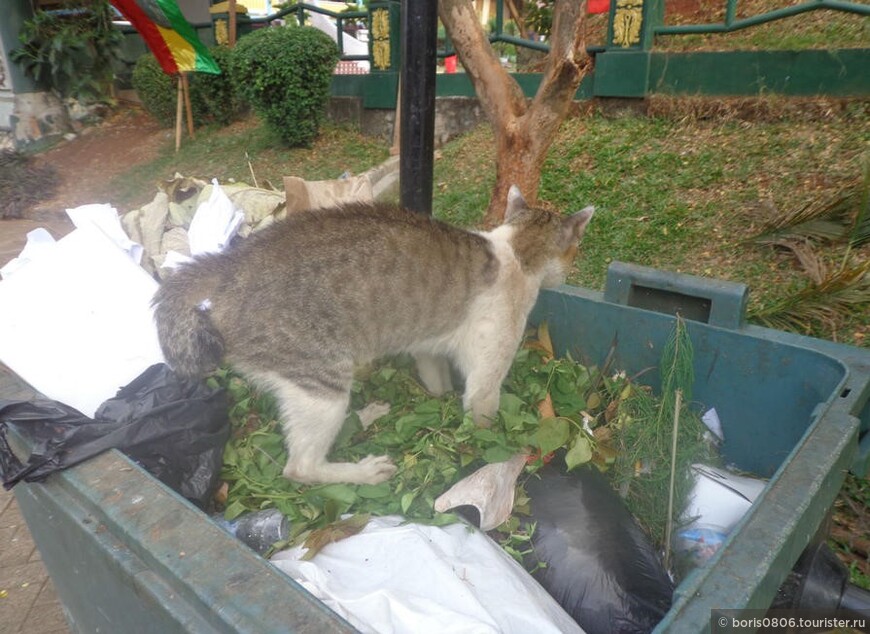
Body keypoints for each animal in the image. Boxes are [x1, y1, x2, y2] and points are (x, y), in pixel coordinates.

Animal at [153, 186, 596, 484]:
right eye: (575, 250)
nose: (568, 273)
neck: (516, 251)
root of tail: (231, 263)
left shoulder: (427, 347)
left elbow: (436, 375)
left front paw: (438, 396)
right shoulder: (489, 372)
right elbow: (483, 413)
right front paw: (494, 443)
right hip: (321, 381)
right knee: (301, 467)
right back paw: (359, 472)